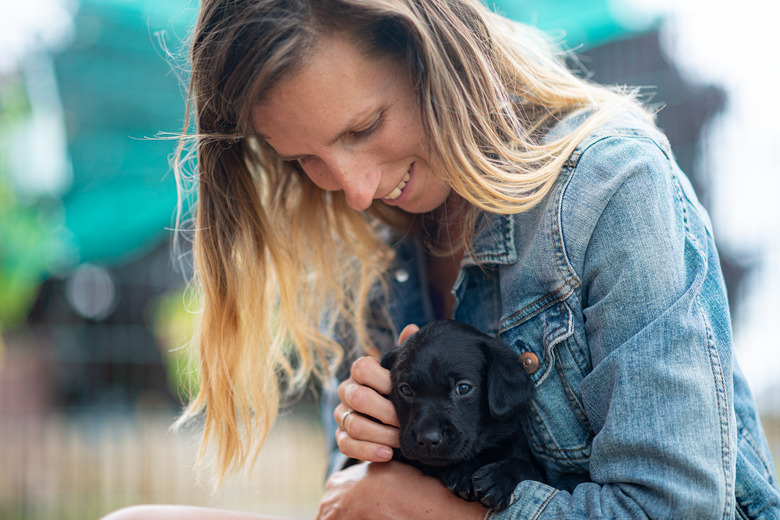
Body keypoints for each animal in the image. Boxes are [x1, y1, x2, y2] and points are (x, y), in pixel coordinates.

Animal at [380, 318, 540, 510]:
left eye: (463, 388)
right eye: (405, 389)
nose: (428, 439)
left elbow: (528, 468)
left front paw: (498, 479)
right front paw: (462, 472)